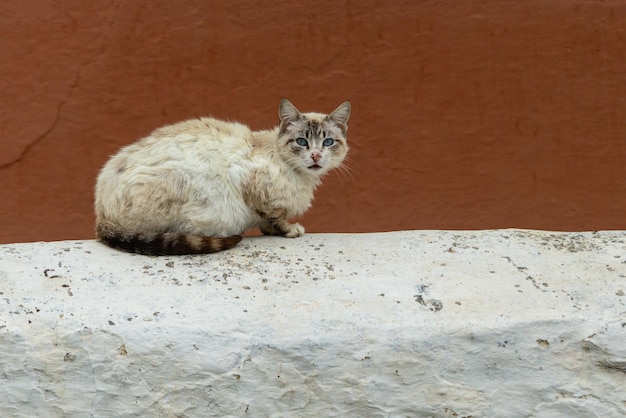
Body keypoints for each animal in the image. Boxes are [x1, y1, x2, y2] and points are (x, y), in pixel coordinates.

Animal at [93, 99, 348, 255]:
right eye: (302, 142)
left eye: (328, 142)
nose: (315, 155)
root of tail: (101, 213)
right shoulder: (246, 180)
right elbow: (275, 216)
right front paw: (289, 230)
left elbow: (268, 220)